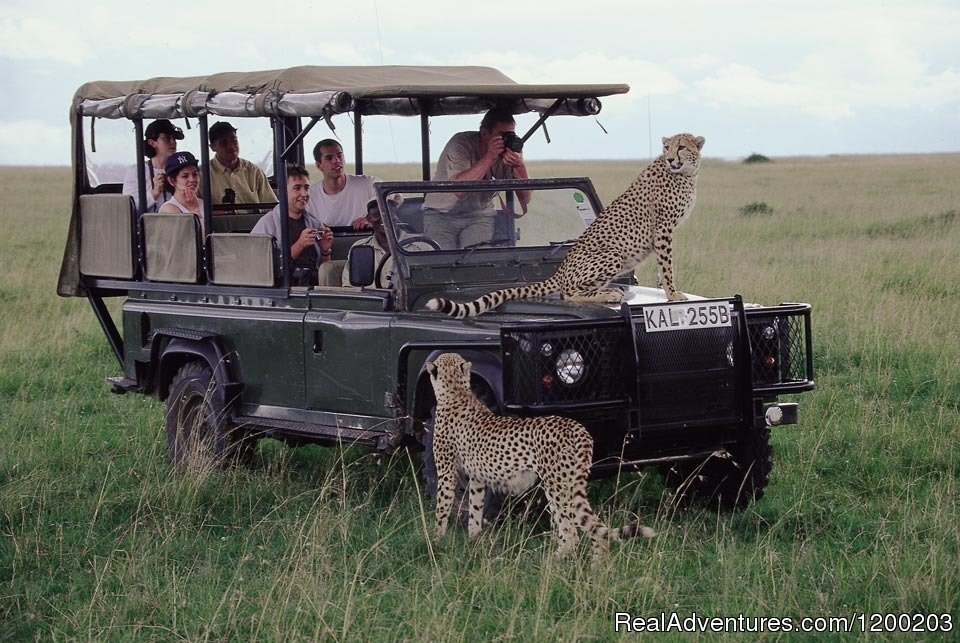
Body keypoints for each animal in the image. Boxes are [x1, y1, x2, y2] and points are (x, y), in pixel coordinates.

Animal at [426, 352, 656, 560]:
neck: (456, 391)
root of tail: (576, 426)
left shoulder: (447, 472)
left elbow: (442, 507)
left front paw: (436, 541)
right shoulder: (477, 478)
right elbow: (474, 508)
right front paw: (473, 541)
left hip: (556, 484)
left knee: (572, 532)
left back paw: (551, 562)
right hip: (570, 482)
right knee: (593, 528)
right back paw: (597, 567)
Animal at [428, 133, 704, 320]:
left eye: (681, 147)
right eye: (667, 148)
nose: (671, 158)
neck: (686, 174)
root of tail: (559, 270)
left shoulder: (663, 230)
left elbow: (664, 265)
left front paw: (668, 293)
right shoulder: (663, 228)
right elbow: (667, 265)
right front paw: (673, 295)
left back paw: (611, 289)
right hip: (612, 255)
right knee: (568, 292)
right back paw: (609, 294)